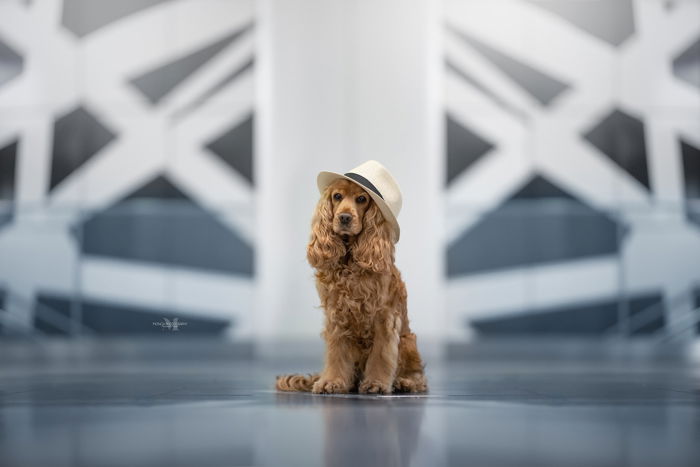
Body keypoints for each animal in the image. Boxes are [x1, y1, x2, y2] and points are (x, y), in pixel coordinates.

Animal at [274, 162, 426, 394]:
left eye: (362, 199)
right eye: (337, 196)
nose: (344, 217)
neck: (350, 259)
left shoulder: (384, 316)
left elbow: (381, 354)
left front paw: (376, 383)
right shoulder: (336, 314)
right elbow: (336, 353)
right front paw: (331, 381)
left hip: (408, 341)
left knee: (418, 376)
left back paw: (405, 382)